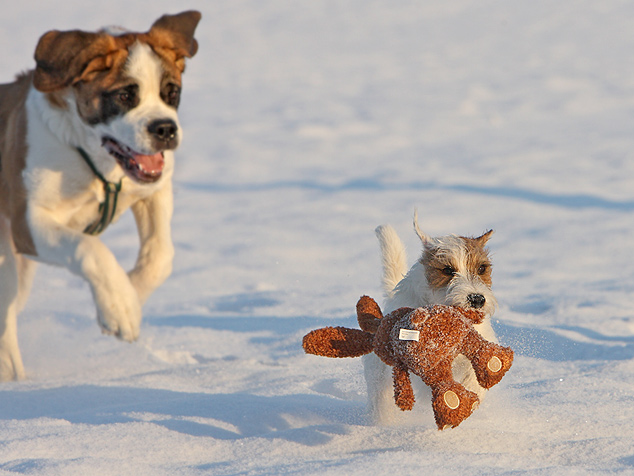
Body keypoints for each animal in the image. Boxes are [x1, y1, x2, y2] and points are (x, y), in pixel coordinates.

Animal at [0, 12, 200, 384]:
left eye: (172, 92)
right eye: (124, 96)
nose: (165, 129)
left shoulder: (154, 189)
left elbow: (161, 255)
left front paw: (131, 293)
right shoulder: (28, 221)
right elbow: (88, 248)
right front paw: (119, 307)